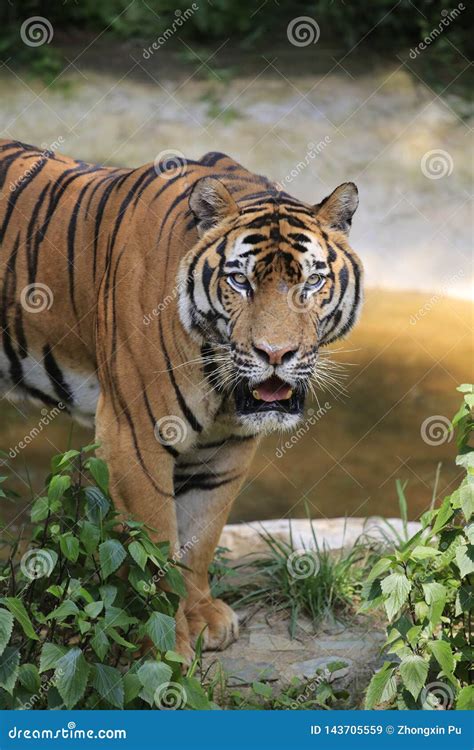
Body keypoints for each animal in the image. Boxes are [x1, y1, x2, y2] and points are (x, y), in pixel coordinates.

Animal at [0, 138, 362, 660]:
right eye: (240, 281)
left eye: (311, 283)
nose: (275, 353)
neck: (221, 385)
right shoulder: (134, 435)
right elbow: (155, 550)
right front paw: (165, 650)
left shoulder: (228, 448)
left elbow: (200, 537)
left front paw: (202, 618)